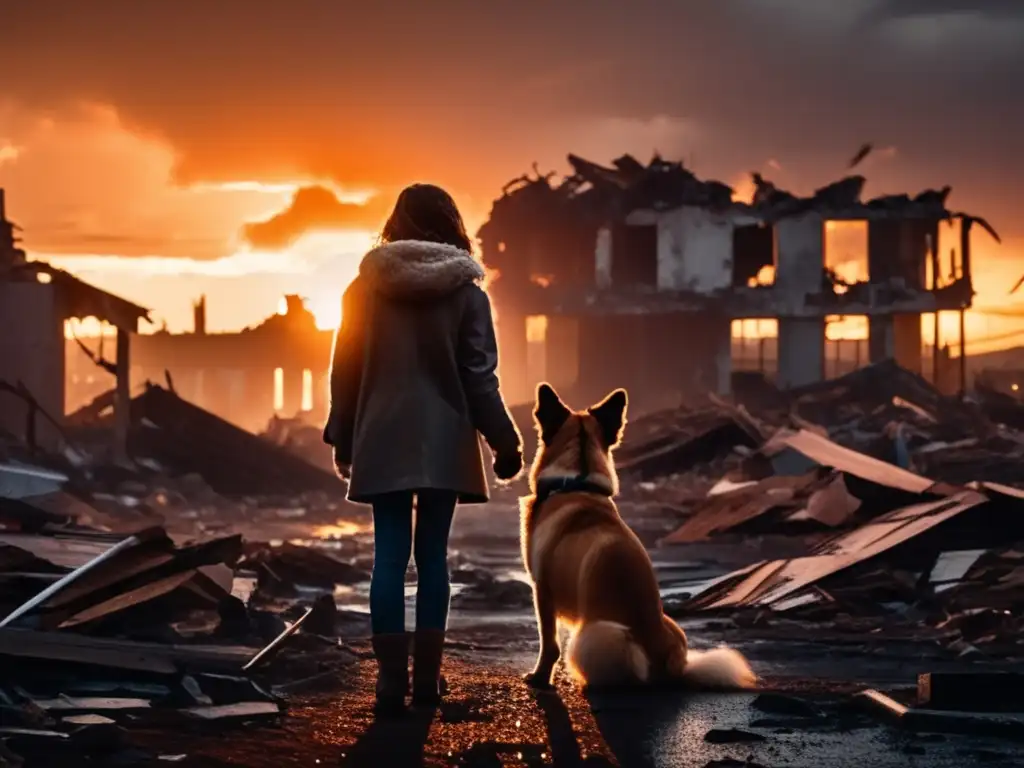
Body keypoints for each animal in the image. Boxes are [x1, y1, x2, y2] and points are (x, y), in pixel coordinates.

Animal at [520, 385, 753, 692]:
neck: (577, 478)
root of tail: (671, 670)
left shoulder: (542, 591)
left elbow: (549, 645)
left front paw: (539, 678)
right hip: (670, 625)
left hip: (596, 634)